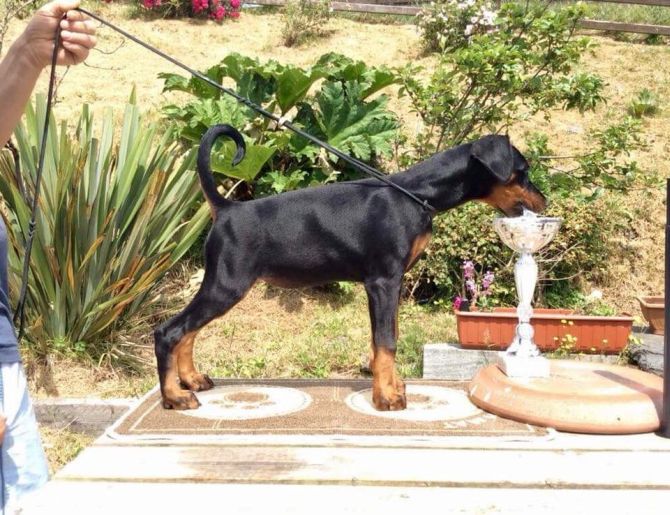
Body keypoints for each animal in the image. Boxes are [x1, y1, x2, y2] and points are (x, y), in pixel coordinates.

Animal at [154, 124, 546, 411]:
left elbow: (385, 339)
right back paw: (174, 396)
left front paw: (391, 386)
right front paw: (386, 397)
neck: (415, 195)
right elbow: (386, 341)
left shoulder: (389, 284)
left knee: (187, 331)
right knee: (169, 331)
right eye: (523, 172)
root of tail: (226, 208)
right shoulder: (383, 281)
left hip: (222, 285)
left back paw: (192, 380)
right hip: (227, 283)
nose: (545, 201)